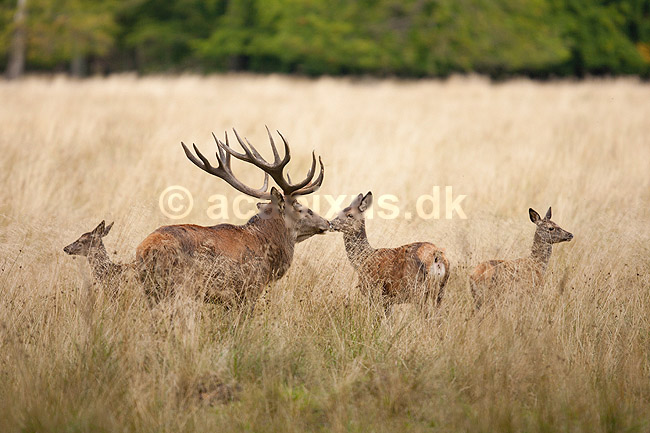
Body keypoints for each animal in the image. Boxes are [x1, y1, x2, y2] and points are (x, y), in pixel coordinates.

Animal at [135, 127, 330, 304]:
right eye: (300, 208)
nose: (327, 222)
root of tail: (146, 250)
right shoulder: (248, 289)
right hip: (180, 287)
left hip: (151, 290)